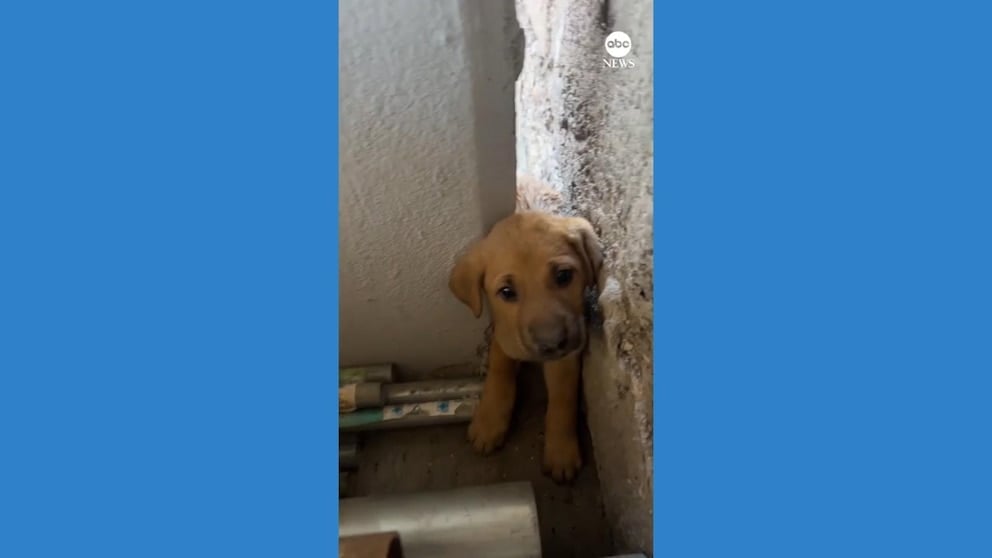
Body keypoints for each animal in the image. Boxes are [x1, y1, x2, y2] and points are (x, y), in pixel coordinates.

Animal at [452, 208, 604, 484]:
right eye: (506, 292)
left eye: (564, 276)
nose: (552, 343)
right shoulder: (503, 336)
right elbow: (499, 372)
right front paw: (489, 421)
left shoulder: (566, 358)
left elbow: (562, 398)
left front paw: (561, 450)